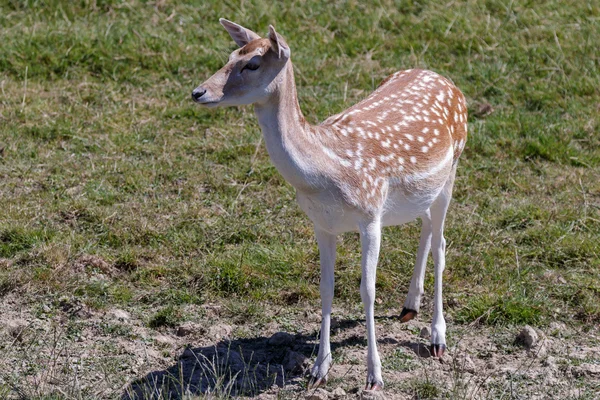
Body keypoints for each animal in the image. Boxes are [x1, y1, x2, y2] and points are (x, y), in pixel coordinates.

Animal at [192, 19, 468, 390]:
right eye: (230, 56)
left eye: (252, 63)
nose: (198, 92)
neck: (326, 174)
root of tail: (447, 81)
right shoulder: (321, 223)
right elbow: (326, 289)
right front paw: (318, 369)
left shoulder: (370, 215)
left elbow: (367, 291)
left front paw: (374, 376)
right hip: (424, 190)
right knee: (426, 226)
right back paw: (409, 306)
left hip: (452, 170)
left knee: (441, 243)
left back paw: (438, 338)